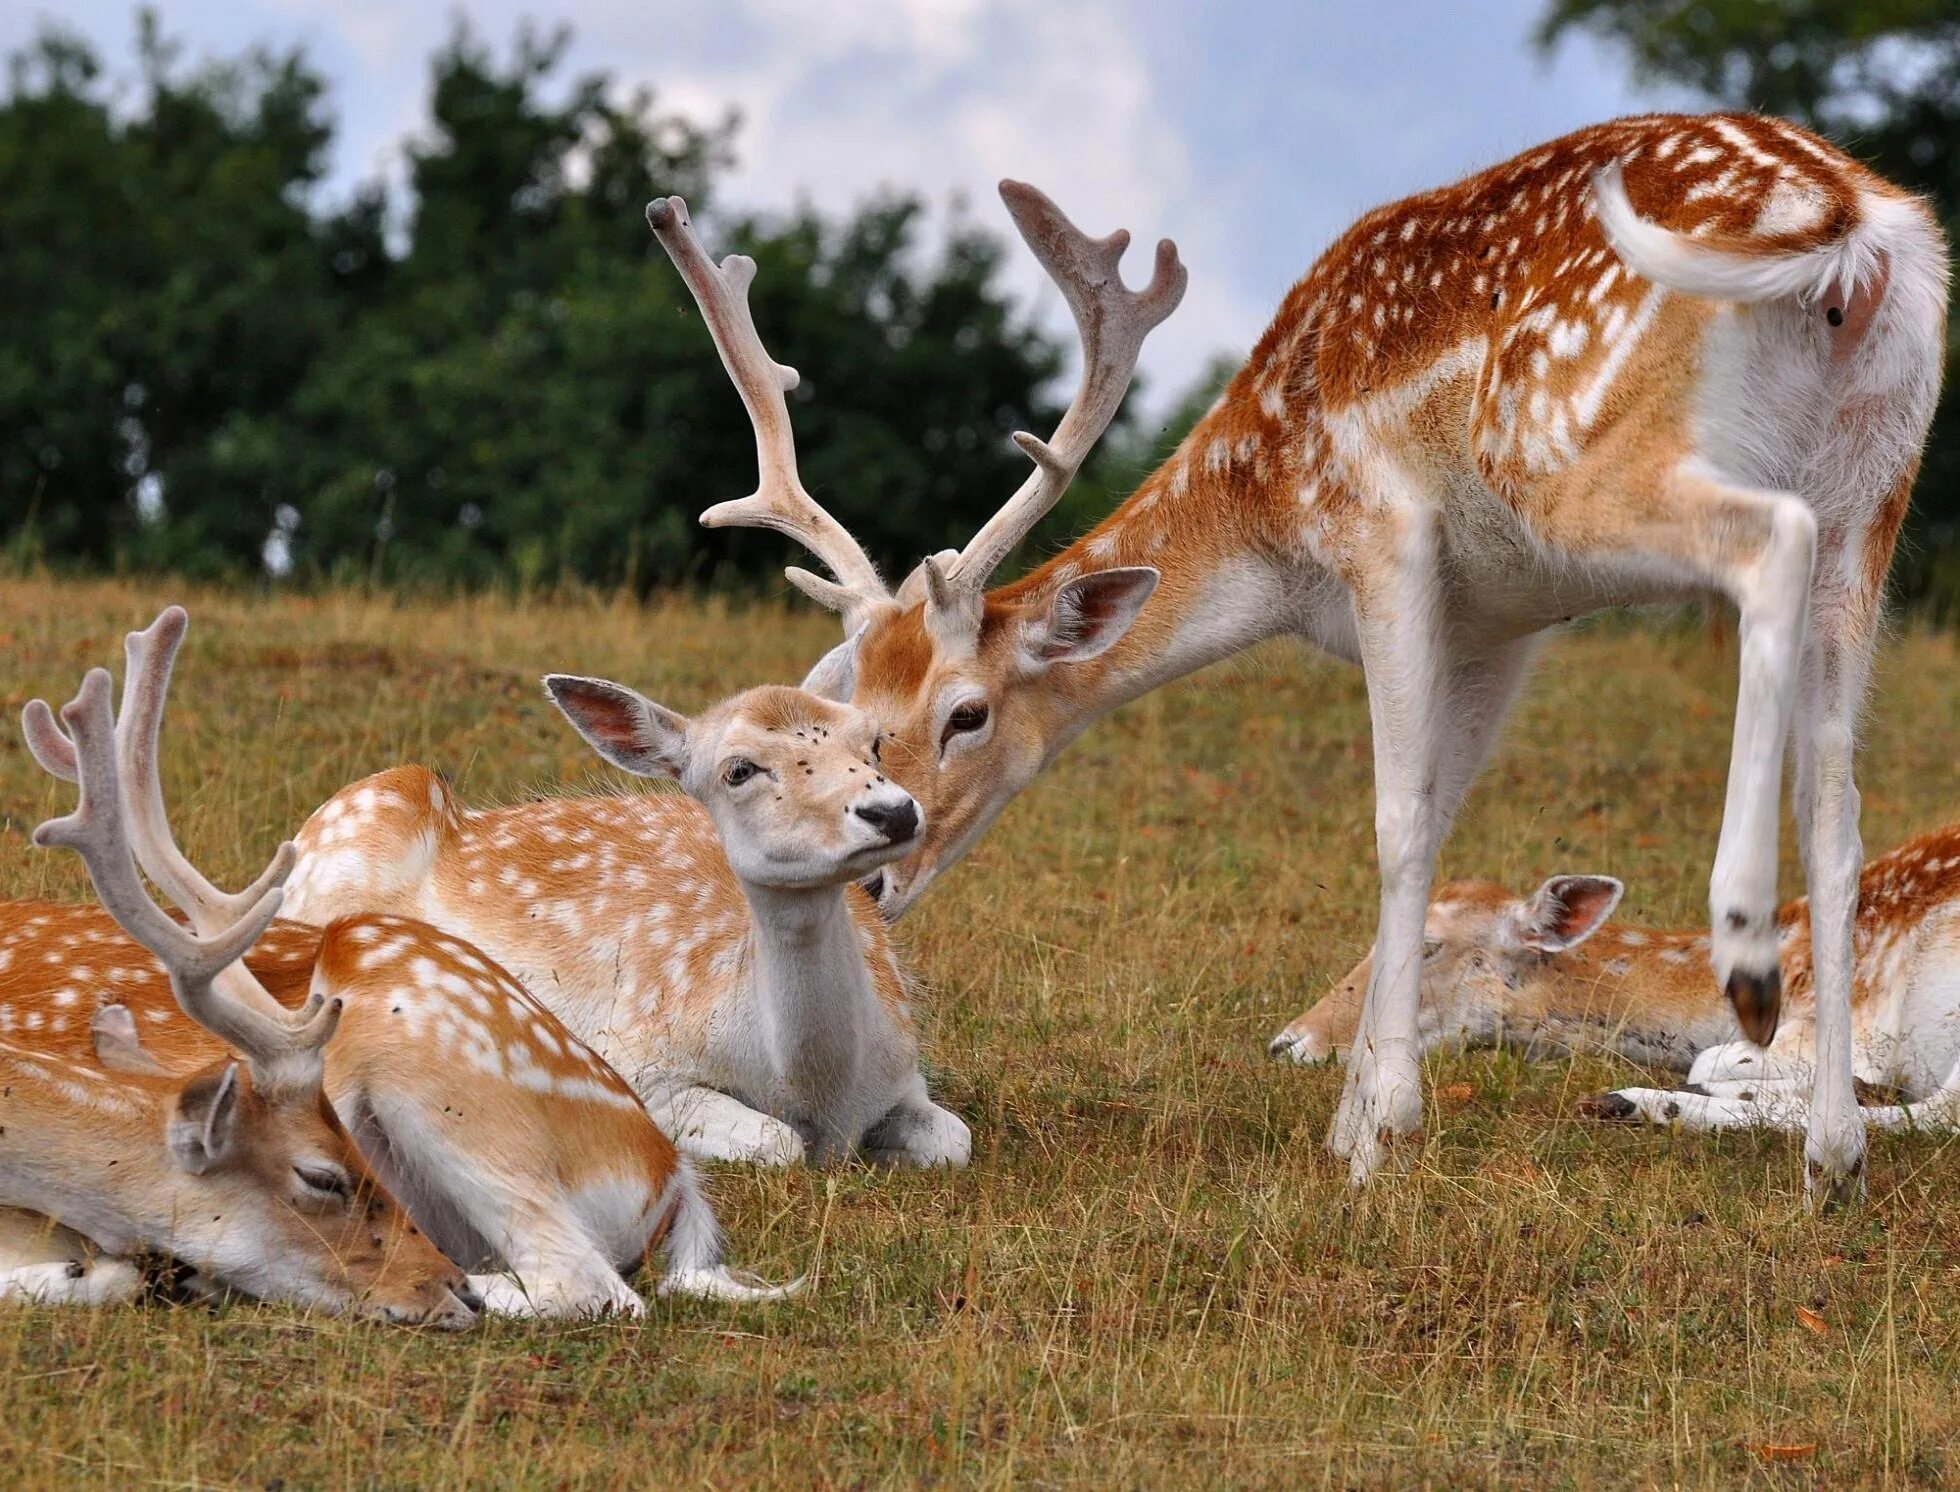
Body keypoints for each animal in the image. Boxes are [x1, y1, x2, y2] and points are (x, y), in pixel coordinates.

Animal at [1277, 819, 1960, 1137]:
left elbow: (1713, 1056)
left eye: (1428, 946)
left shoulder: (1856, 1026)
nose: (1288, 1041)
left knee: (1936, 1114)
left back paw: (1630, 1101)